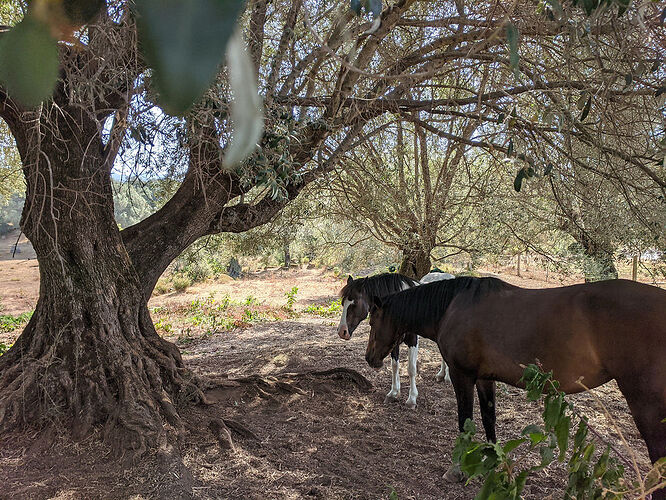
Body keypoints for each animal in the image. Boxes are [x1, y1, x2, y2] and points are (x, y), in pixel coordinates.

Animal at [364, 276, 664, 498]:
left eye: (372, 321)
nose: (370, 358)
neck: (453, 306)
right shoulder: (484, 378)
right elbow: (489, 418)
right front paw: (493, 462)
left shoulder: (463, 376)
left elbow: (465, 422)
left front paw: (457, 470)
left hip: (646, 405)